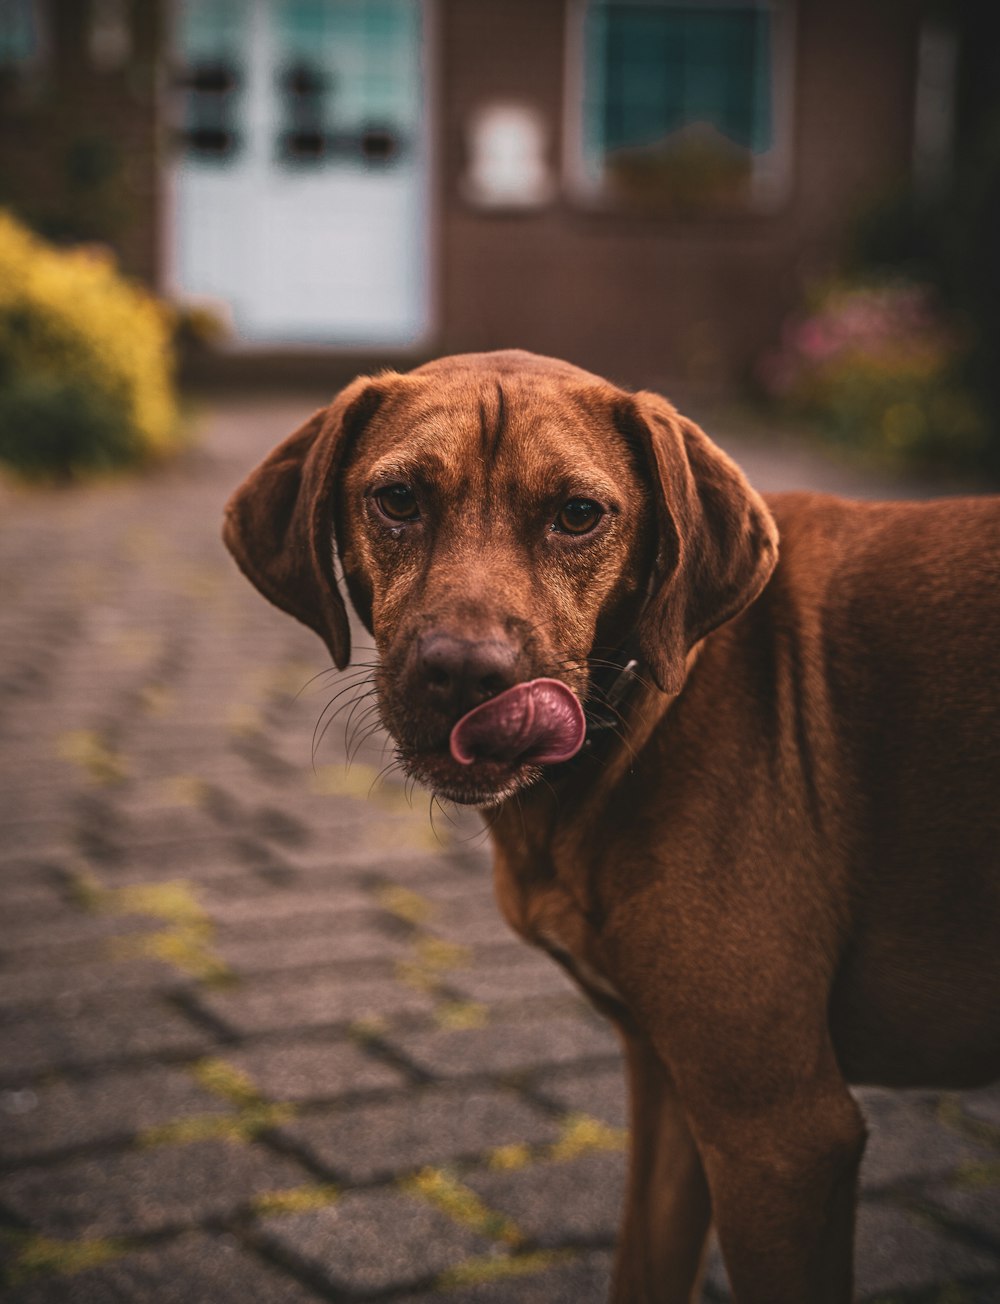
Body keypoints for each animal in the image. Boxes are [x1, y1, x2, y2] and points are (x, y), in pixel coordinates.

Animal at [226, 352, 1000, 1298]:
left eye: (578, 515)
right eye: (399, 498)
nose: (465, 676)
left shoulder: (781, 1135)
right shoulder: (677, 1095)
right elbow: (642, 1263)